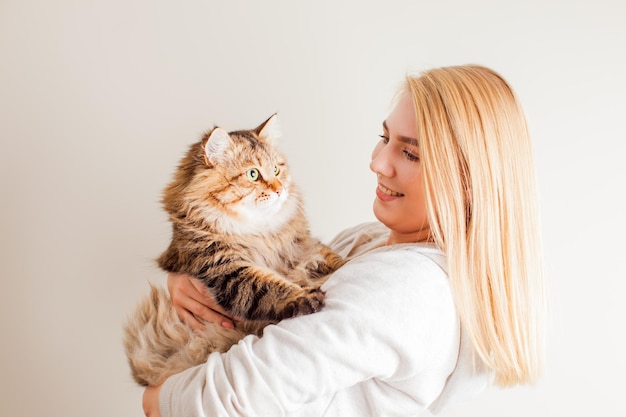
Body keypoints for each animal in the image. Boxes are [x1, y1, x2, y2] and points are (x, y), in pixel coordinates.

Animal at [121, 114, 342, 386]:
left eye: (277, 169)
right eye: (253, 174)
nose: (280, 190)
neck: (260, 231)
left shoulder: (302, 247)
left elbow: (330, 256)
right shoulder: (225, 268)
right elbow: (268, 286)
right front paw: (304, 297)